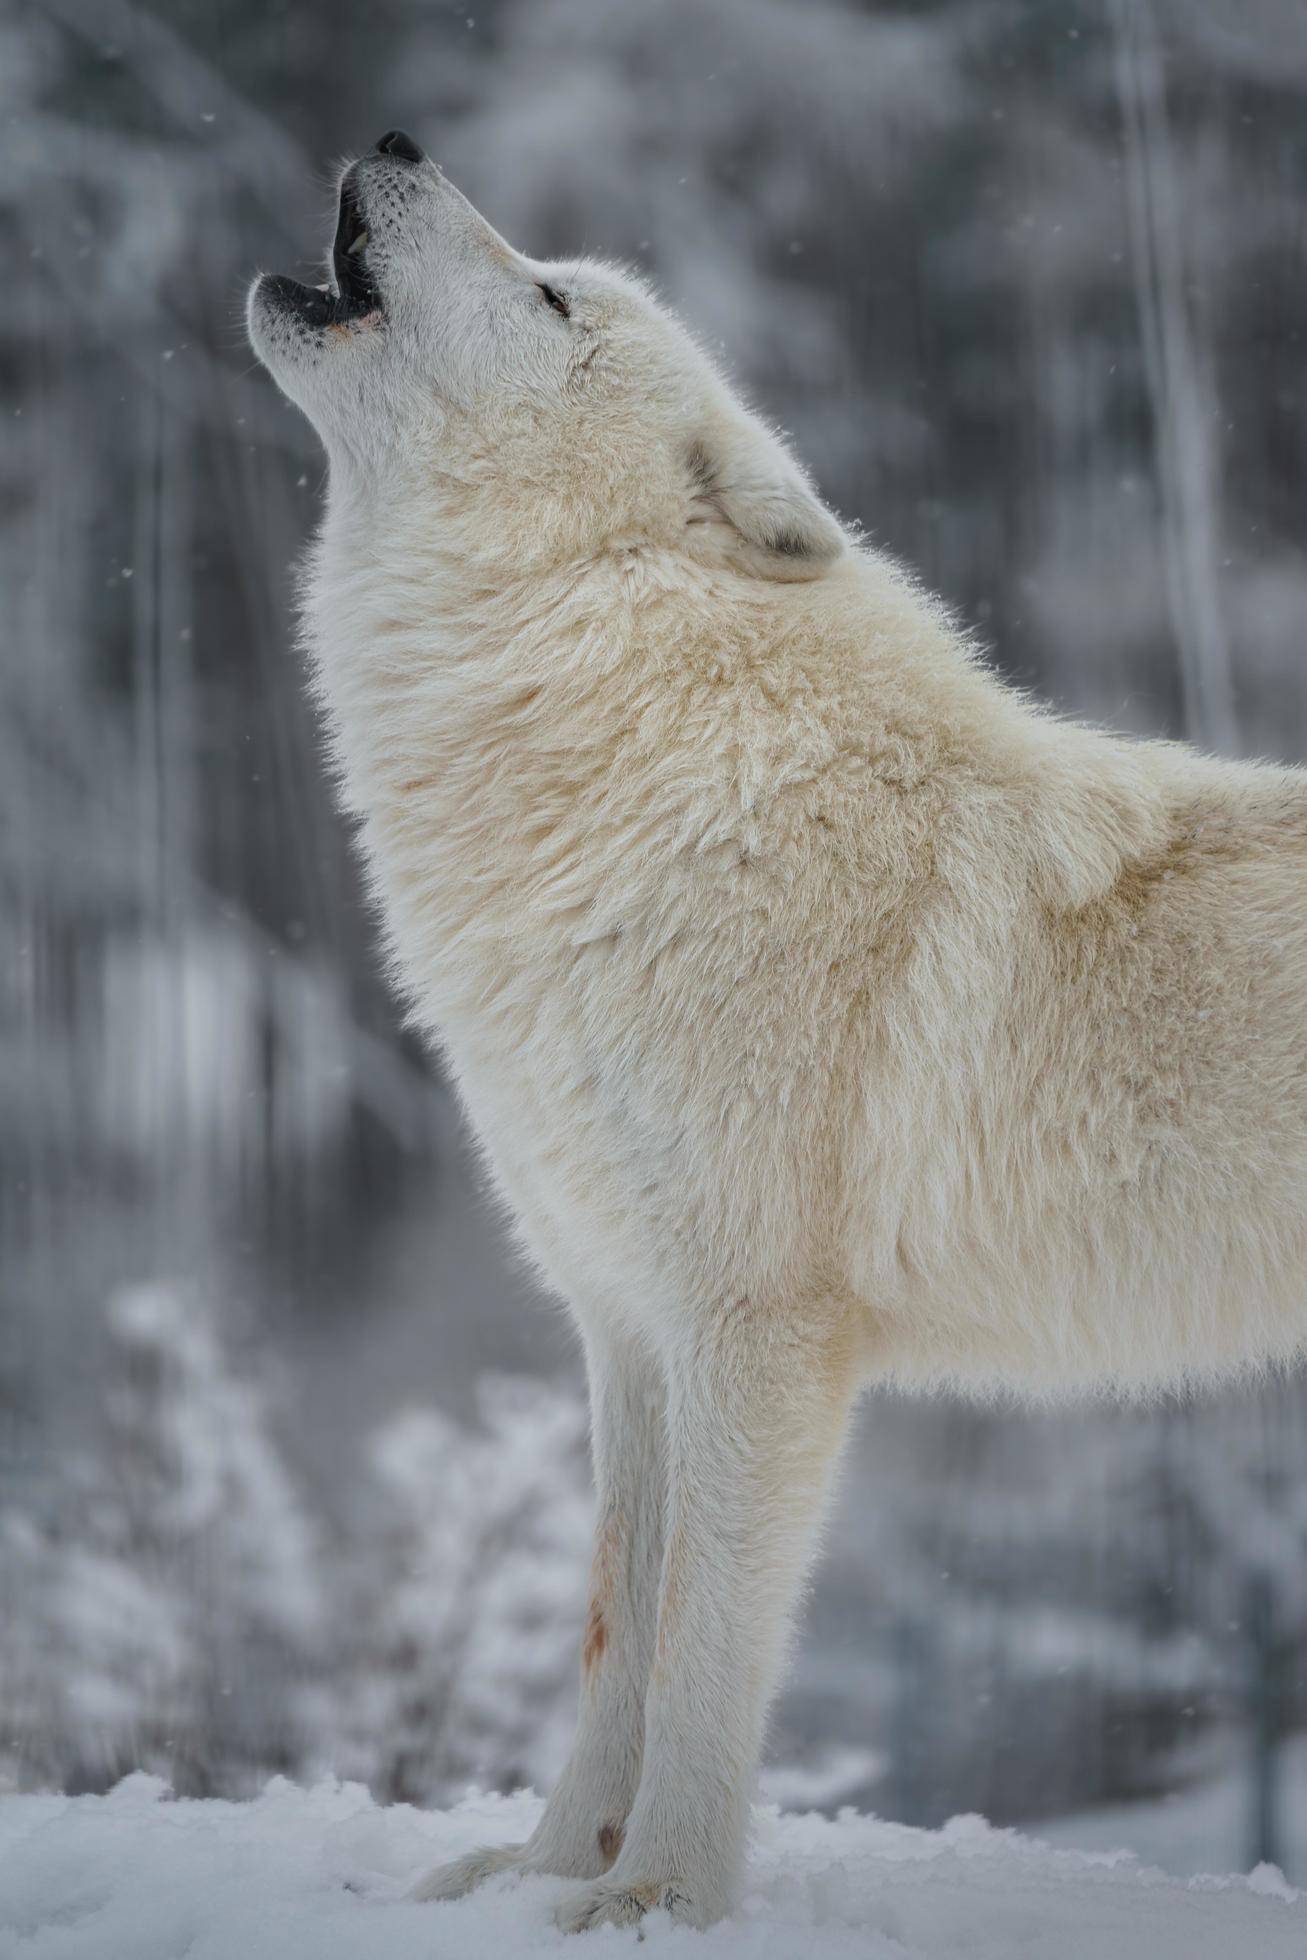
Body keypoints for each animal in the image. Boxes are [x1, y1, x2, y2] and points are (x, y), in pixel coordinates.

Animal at [244, 130, 1307, 1936]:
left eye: (552, 298)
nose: (391, 141)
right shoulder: (623, 1325)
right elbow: (612, 1634)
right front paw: (538, 1880)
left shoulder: (754, 1332)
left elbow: (700, 1651)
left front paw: (655, 1902)